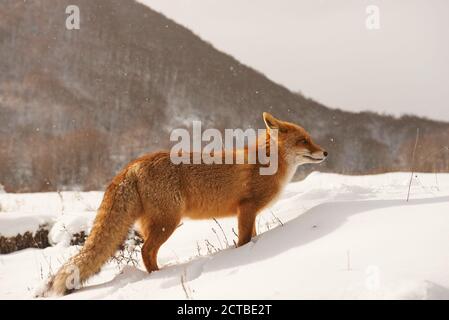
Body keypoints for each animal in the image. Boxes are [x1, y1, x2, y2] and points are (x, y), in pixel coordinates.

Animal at [41, 113, 326, 298]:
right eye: (304, 141)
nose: (325, 153)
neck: (266, 165)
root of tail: (132, 164)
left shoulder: (248, 213)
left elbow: (251, 237)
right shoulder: (246, 208)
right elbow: (244, 242)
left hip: (155, 223)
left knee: (146, 251)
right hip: (168, 223)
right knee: (146, 251)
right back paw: (158, 276)